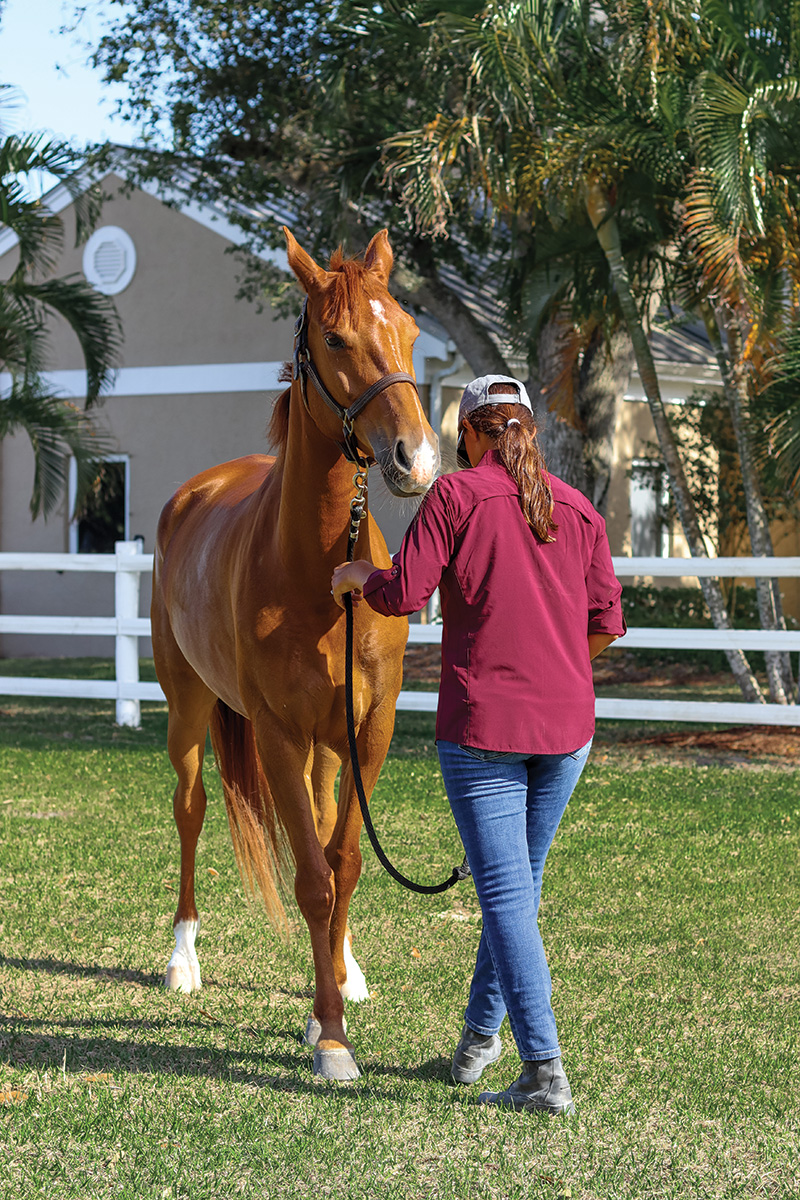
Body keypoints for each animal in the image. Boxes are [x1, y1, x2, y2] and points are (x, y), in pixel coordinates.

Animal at [149, 225, 438, 1080]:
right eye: (336, 339)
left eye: (409, 329)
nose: (415, 458)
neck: (317, 569)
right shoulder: (276, 733)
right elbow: (311, 878)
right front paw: (333, 1037)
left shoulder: (367, 730)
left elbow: (343, 864)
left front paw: (332, 998)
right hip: (188, 712)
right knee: (190, 810)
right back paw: (182, 960)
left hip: (324, 747)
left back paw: (345, 966)